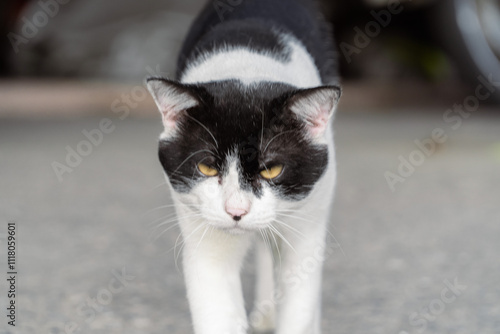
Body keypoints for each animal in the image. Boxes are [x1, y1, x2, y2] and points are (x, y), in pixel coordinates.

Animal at [145, 0, 340, 334]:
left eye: (271, 170)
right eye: (207, 168)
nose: (236, 211)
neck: (247, 66)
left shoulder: (307, 225)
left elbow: (299, 303)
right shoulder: (203, 238)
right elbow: (217, 309)